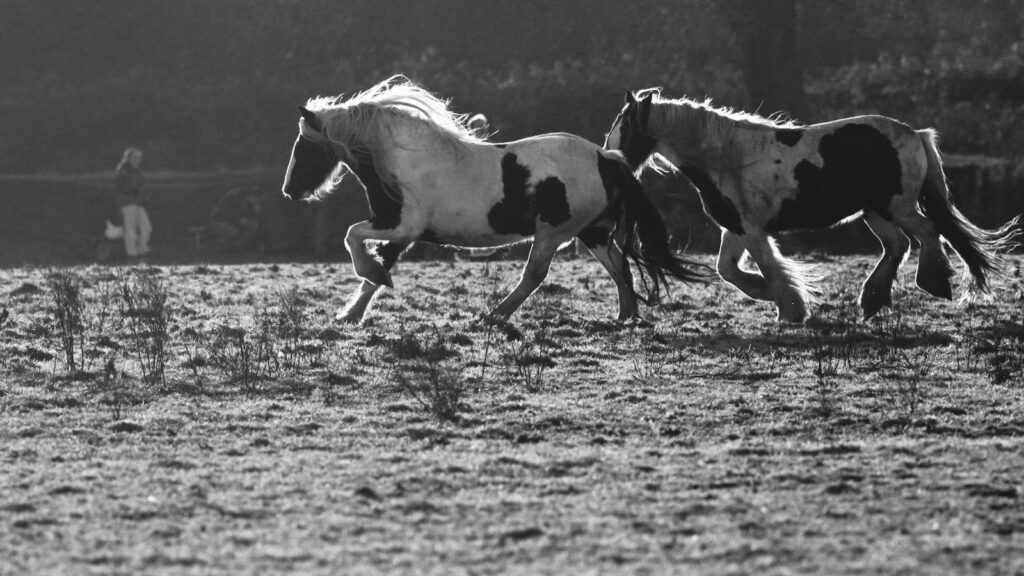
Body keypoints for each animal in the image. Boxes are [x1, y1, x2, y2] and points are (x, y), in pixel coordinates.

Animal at [281, 76, 705, 323]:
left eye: (303, 145)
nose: (290, 190)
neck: (401, 158)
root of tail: (607, 157)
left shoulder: (403, 225)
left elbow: (354, 239)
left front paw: (365, 286)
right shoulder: (401, 232)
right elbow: (375, 266)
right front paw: (350, 313)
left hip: (553, 232)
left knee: (535, 275)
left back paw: (494, 316)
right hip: (593, 232)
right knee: (620, 267)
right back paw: (625, 317)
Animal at [605, 89, 1021, 322]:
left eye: (625, 127)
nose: (610, 158)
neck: (727, 157)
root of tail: (915, 134)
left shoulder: (752, 231)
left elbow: (770, 269)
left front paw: (790, 309)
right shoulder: (735, 229)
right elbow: (728, 270)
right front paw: (772, 296)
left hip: (897, 207)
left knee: (927, 233)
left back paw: (932, 282)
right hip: (874, 212)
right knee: (898, 245)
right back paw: (872, 300)